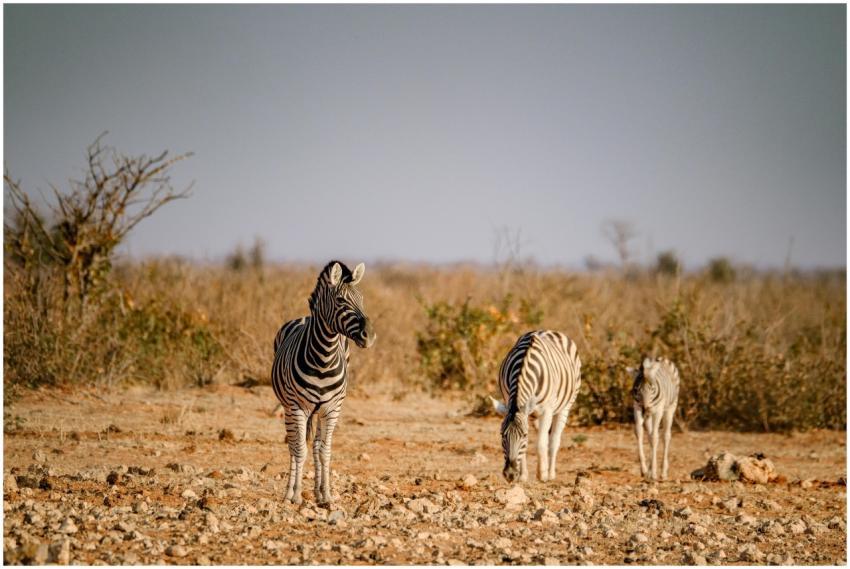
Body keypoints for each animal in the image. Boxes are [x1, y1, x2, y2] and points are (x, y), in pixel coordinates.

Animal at [271, 261, 376, 505]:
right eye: (340, 300)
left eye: (362, 298)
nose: (368, 335)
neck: (324, 358)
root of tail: (303, 317)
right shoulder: (298, 407)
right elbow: (299, 449)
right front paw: (297, 495)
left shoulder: (332, 409)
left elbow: (324, 450)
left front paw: (326, 495)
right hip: (289, 407)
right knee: (293, 445)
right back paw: (289, 492)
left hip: (319, 412)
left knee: (317, 444)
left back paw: (317, 491)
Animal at [489, 330, 581, 483]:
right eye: (502, 435)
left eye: (524, 435)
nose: (510, 475)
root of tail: (550, 331)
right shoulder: (510, 402)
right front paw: (523, 476)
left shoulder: (547, 411)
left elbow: (541, 444)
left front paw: (542, 474)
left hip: (565, 406)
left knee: (553, 441)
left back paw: (550, 473)